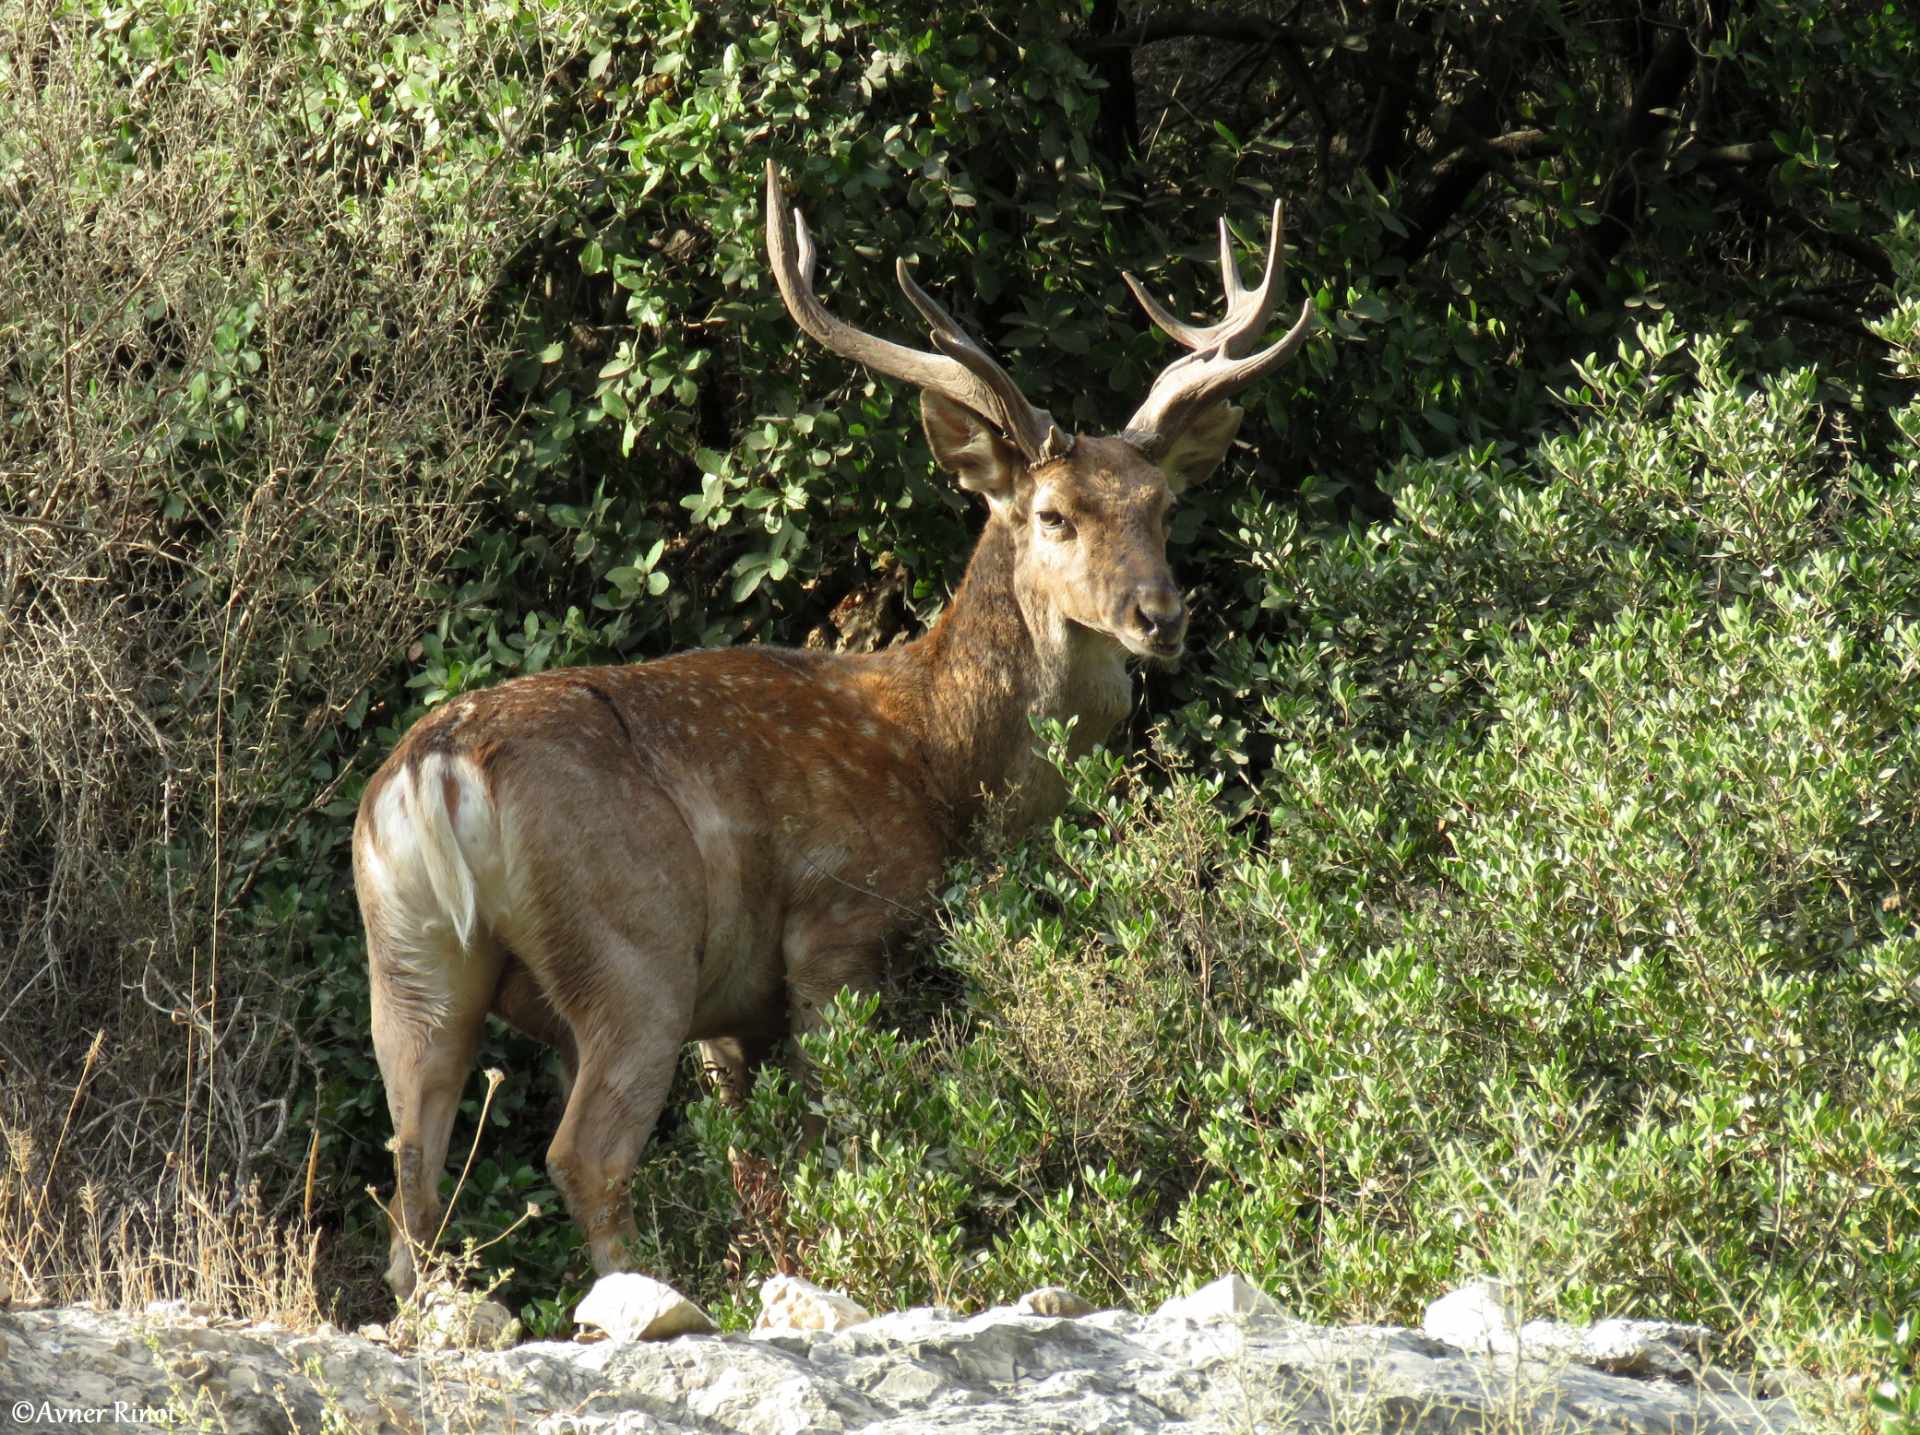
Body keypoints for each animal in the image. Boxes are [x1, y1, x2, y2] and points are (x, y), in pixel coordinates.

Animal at [353, 160, 1313, 1298]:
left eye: (1163, 506)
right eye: (1054, 515)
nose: (1159, 616)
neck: (943, 761)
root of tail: (439, 774)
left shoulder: (738, 1012)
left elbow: (757, 1167)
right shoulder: (837, 928)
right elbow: (840, 1136)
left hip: (410, 962)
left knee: (411, 1173)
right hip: (633, 944)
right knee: (582, 1149)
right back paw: (650, 1295)